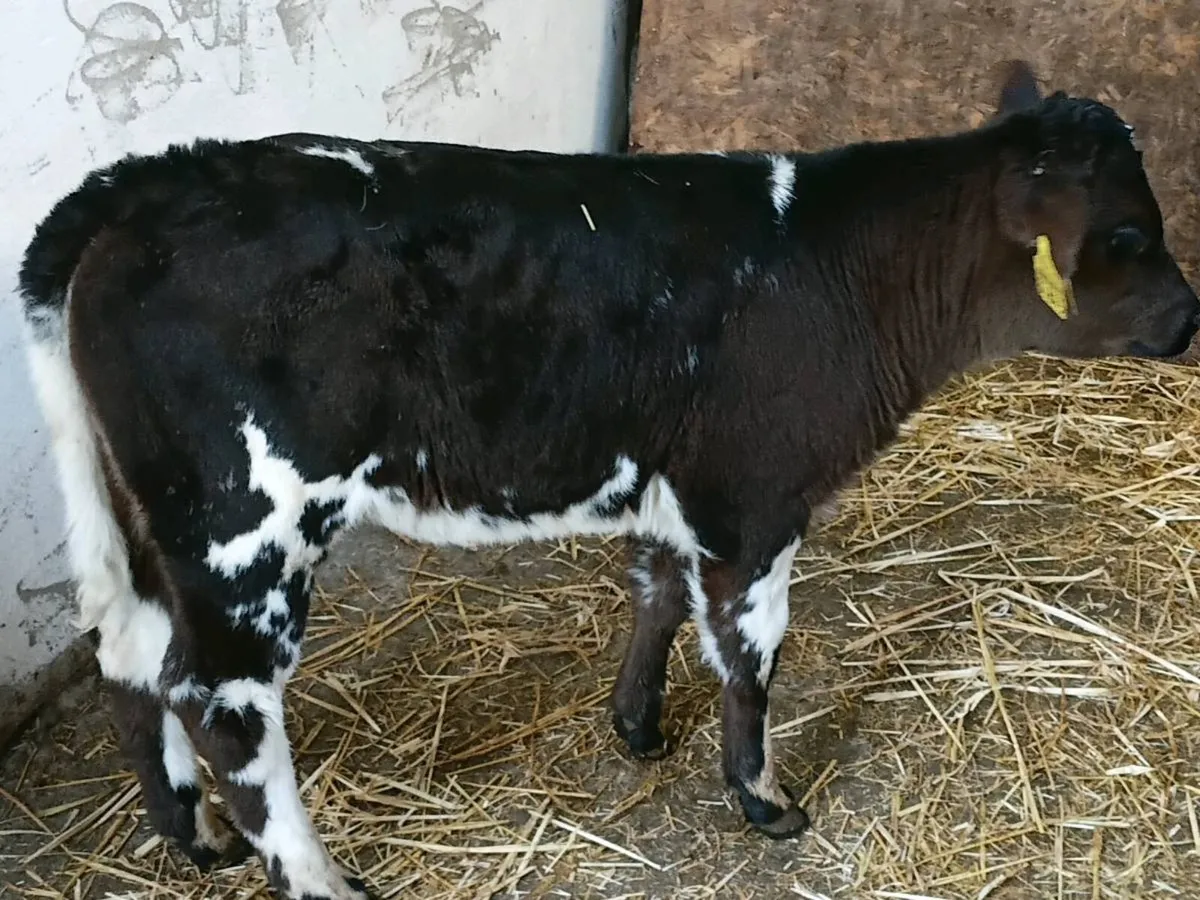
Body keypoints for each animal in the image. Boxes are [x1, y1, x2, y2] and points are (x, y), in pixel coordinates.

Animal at [17, 59, 1197, 898]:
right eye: (1128, 235)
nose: (1191, 317)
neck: (833, 270)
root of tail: (146, 183)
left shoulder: (679, 477)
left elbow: (657, 591)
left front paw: (637, 727)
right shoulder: (756, 492)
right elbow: (751, 654)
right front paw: (763, 797)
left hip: (151, 519)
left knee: (129, 655)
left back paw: (194, 836)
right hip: (245, 523)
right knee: (223, 701)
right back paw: (315, 879)